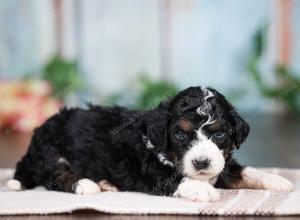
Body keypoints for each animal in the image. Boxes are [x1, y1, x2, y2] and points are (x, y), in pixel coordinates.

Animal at [7, 87, 292, 202]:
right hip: (51, 152)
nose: (201, 162)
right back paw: (87, 184)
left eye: (219, 133)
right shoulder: (150, 171)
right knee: (53, 176)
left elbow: (245, 171)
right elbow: (174, 178)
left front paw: (278, 181)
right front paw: (202, 189)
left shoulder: (221, 164)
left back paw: (106, 183)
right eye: (180, 134)